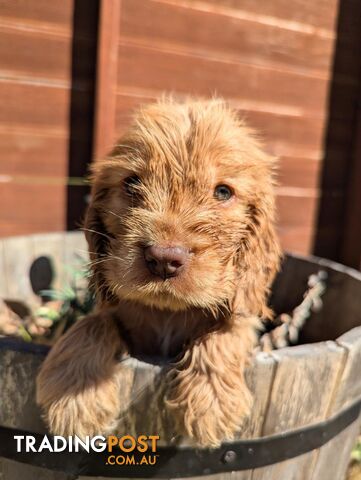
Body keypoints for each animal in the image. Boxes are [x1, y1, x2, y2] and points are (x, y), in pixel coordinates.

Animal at [36, 97, 280, 446]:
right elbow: (94, 322)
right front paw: (74, 395)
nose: (164, 259)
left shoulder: (243, 314)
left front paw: (210, 402)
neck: (168, 311)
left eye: (223, 192)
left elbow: (227, 332)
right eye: (132, 183)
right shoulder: (116, 310)